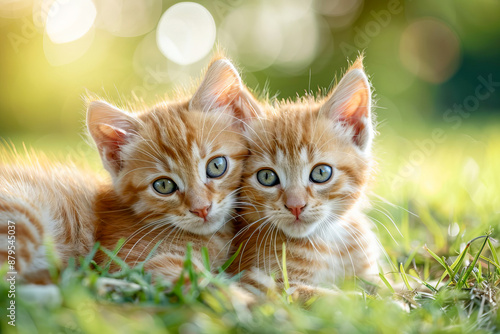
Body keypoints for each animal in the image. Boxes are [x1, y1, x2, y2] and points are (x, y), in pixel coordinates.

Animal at [229, 57, 378, 300]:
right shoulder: (260, 283)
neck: (327, 240)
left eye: (321, 173)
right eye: (267, 177)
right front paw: (379, 302)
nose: (295, 206)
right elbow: (330, 297)